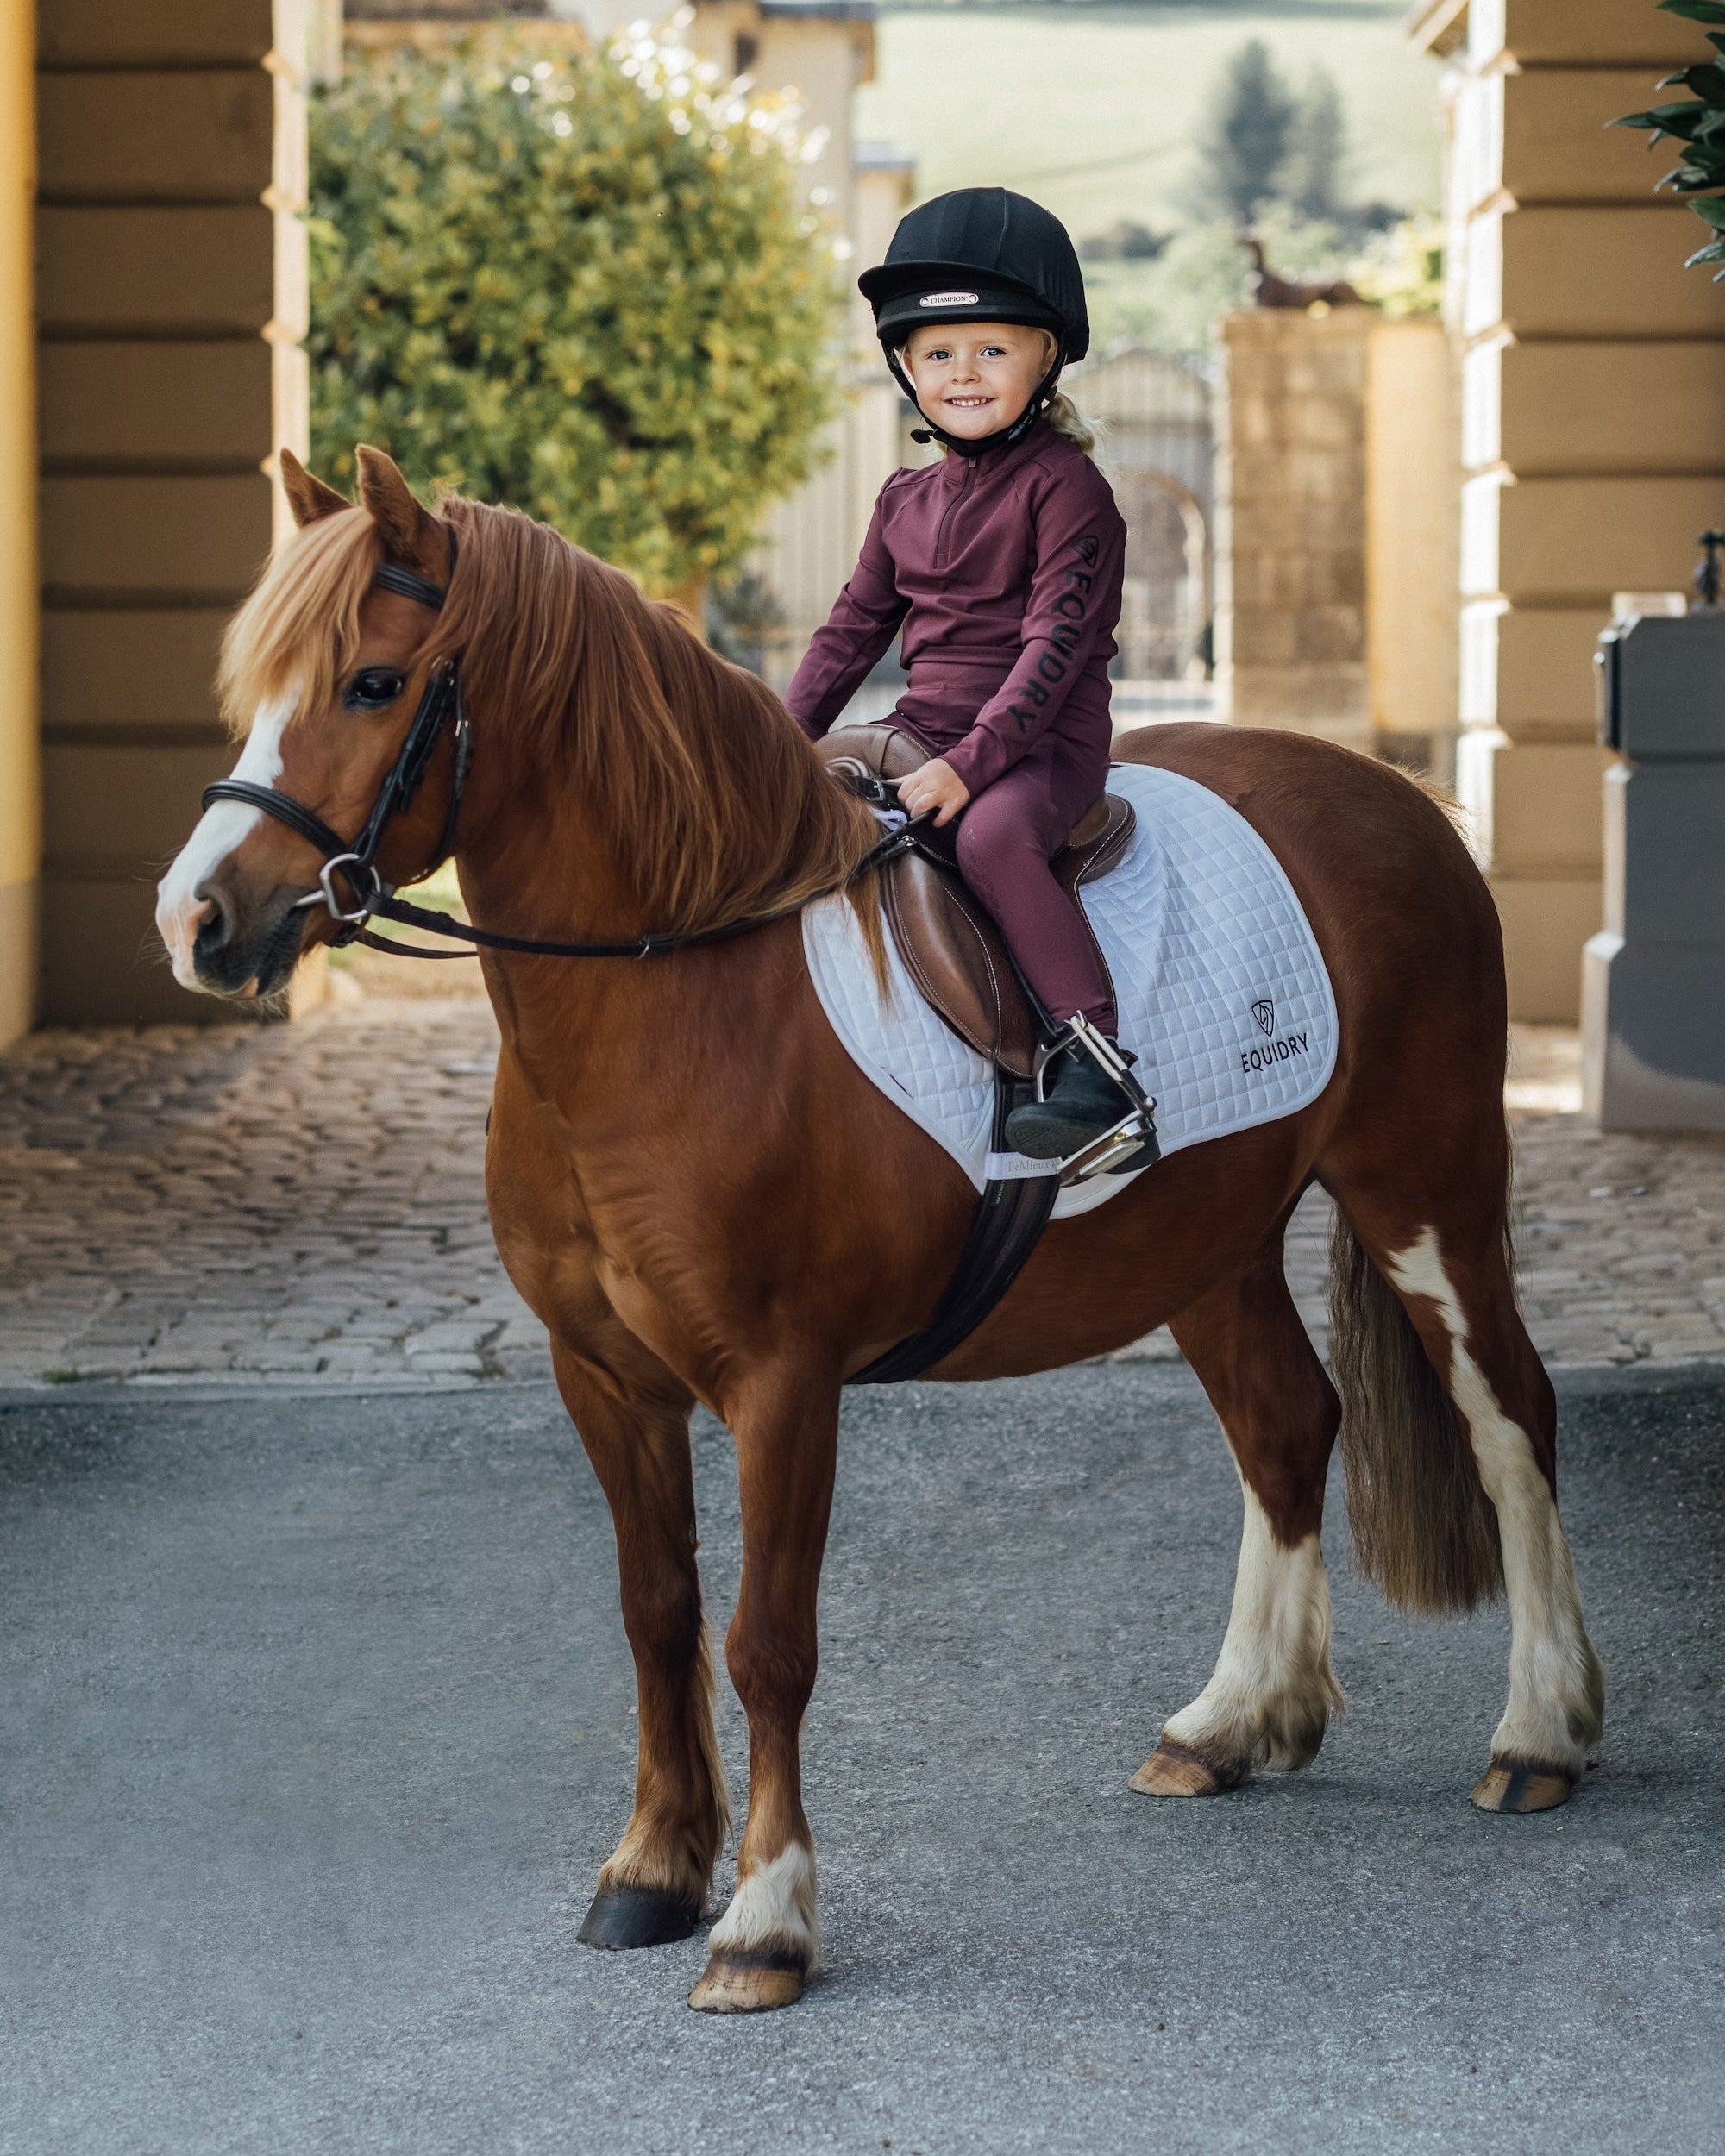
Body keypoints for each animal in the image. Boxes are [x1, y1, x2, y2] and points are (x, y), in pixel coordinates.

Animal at [155, 446, 1604, 2015]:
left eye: (371, 683)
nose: (194, 921)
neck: (682, 995)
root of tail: (1399, 800)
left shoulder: (784, 1385)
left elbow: (766, 1644)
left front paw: (763, 1921)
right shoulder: (599, 1378)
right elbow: (656, 1614)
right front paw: (651, 1872)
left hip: (1423, 1184)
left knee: (1511, 1417)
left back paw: (1541, 1733)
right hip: (1208, 1244)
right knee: (1287, 1426)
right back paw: (1233, 1725)